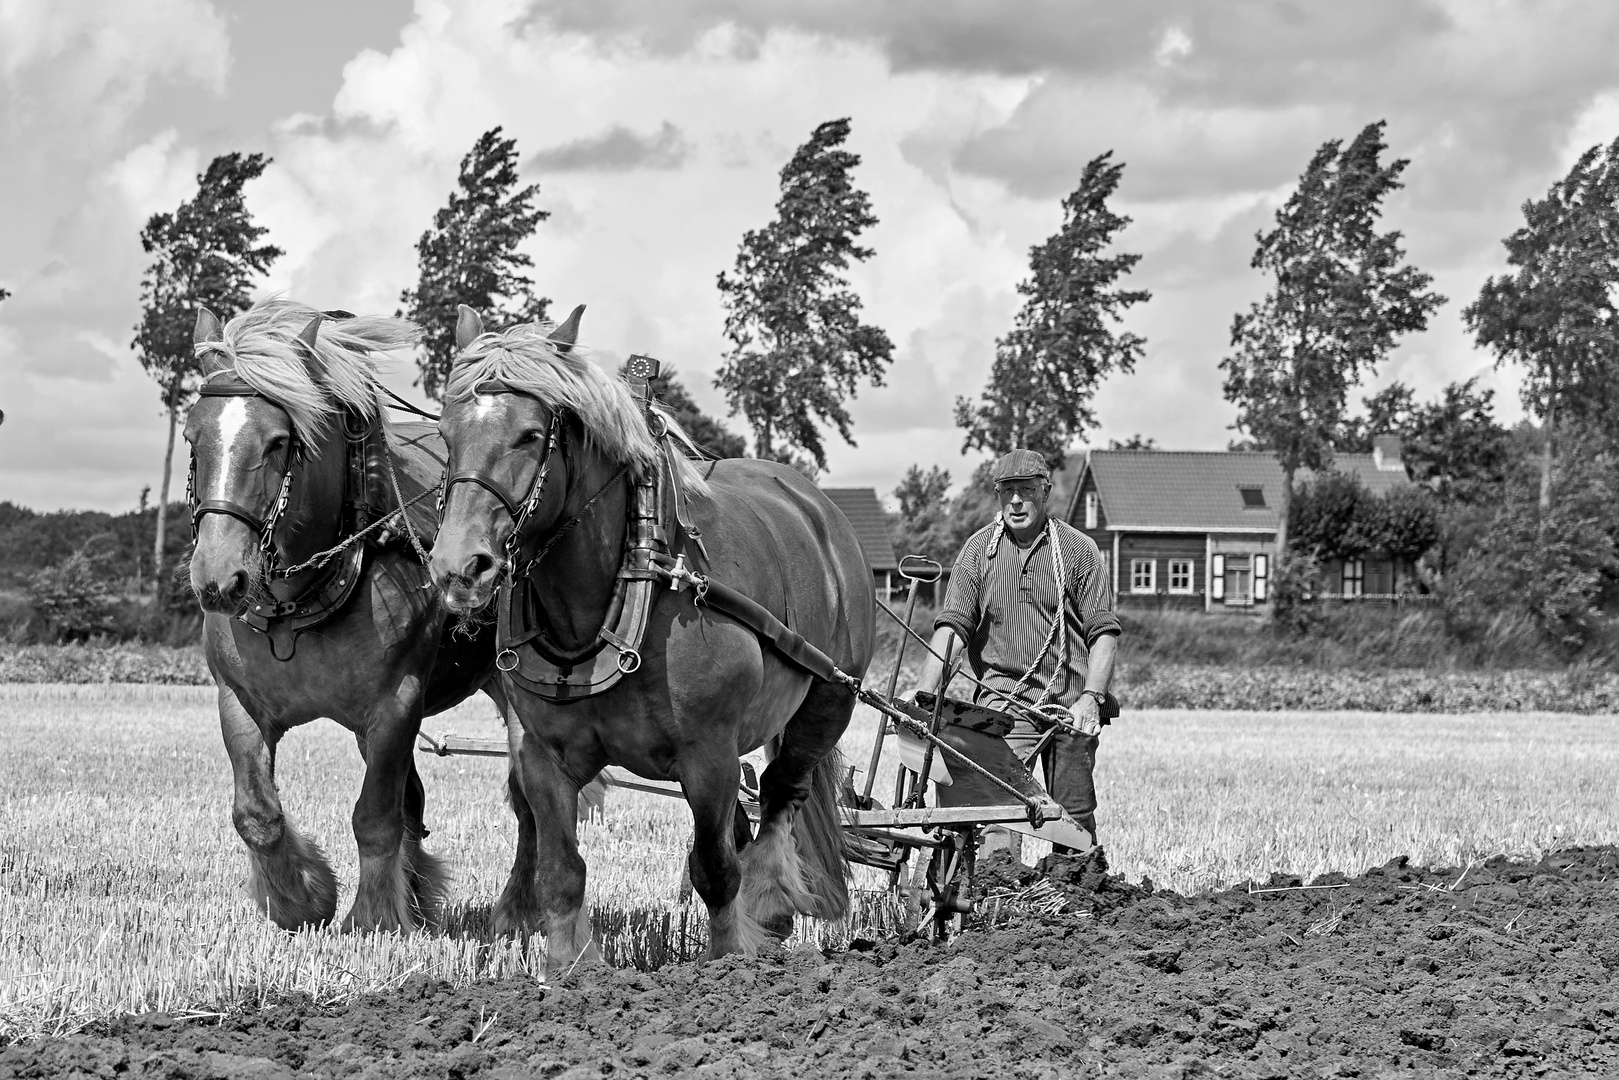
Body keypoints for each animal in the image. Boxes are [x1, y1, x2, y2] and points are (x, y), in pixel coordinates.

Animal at [186, 299, 521, 932]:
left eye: (278, 443)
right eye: (194, 437)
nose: (218, 578)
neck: (299, 606)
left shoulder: (396, 704)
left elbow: (375, 816)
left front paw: (375, 917)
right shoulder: (236, 701)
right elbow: (257, 813)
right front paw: (301, 899)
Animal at [420, 307, 874, 977]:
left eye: (530, 435)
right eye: (447, 436)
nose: (457, 567)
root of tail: (819, 508)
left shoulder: (708, 755)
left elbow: (715, 869)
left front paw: (727, 960)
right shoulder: (541, 754)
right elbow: (561, 870)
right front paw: (570, 967)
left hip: (829, 701)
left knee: (780, 794)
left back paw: (768, 905)